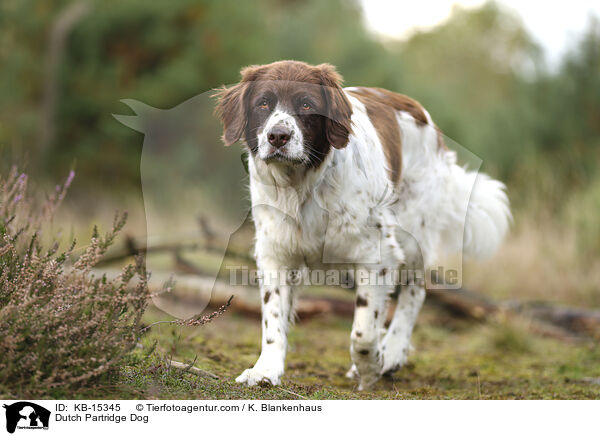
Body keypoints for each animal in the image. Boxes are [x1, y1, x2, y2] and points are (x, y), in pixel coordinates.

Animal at [213, 59, 508, 390]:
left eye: (306, 104)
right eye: (263, 103)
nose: (278, 136)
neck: (302, 187)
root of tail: (426, 118)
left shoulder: (378, 254)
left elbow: (363, 332)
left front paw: (371, 367)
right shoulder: (276, 252)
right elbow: (273, 318)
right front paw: (265, 370)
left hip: (412, 235)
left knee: (414, 292)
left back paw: (392, 352)